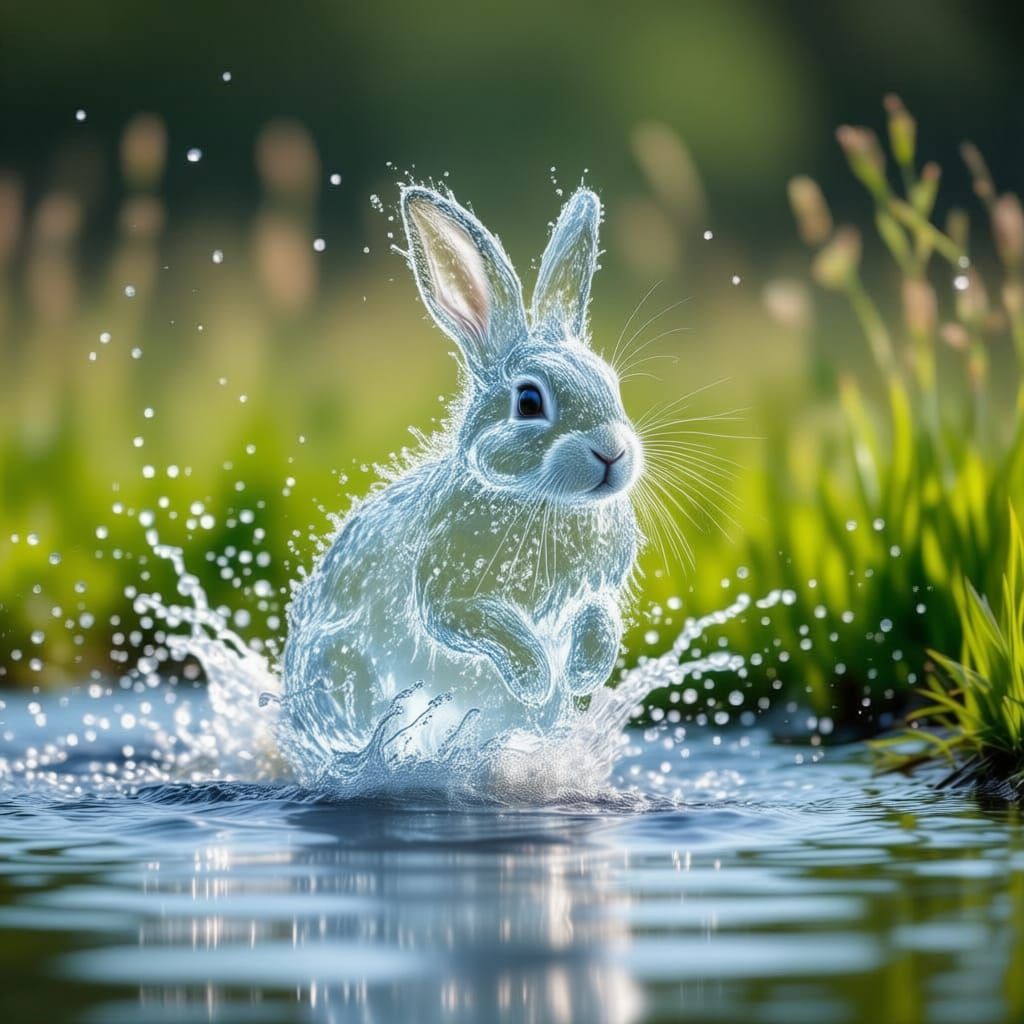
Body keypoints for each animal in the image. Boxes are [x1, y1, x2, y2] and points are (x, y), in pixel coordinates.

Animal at [279, 184, 644, 780]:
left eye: (612, 384)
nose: (611, 452)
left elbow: (601, 616)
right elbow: (490, 625)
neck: (540, 497)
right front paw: (536, 677)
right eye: (529, 401)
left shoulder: (597, 589)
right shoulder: (450, 595)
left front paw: (583, 673)